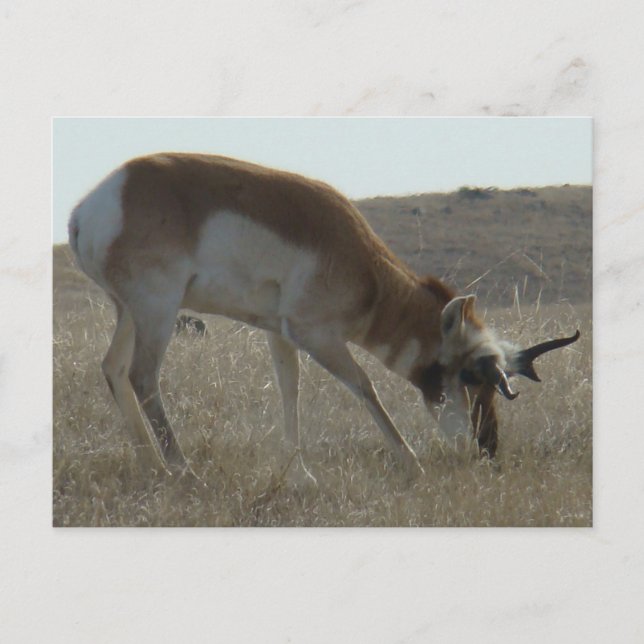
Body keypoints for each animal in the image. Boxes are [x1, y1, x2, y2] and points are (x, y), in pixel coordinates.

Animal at [68, 152, 580, 480]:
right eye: (472, 376)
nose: (488, 449)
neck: (366, 269)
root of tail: (93, 204)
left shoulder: (278, 334)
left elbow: (288, 389)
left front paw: (300, 476)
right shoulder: (317, 336)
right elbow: (365, 386)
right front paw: (411, 463)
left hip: (130, 312)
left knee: (113, 369)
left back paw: (152, 468)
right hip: (157, 310)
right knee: (142, 375)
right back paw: (183, 471)